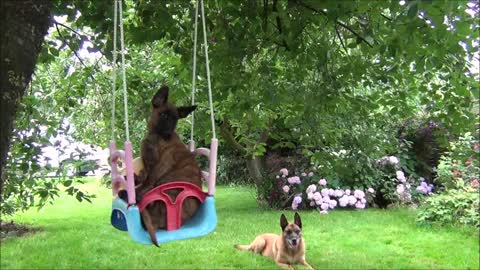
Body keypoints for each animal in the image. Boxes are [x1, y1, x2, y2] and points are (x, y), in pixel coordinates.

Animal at [120, 86, 202, 247]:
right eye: (163, 115)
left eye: (175, 119)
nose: (168, 132)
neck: (156, 136)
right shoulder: (148, 165)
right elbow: (143, 177)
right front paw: (134, 178)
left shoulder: (158, 168)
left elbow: (146, 183)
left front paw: (136, 189)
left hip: (167, 184)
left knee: (143, 204)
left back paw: (128, 195)